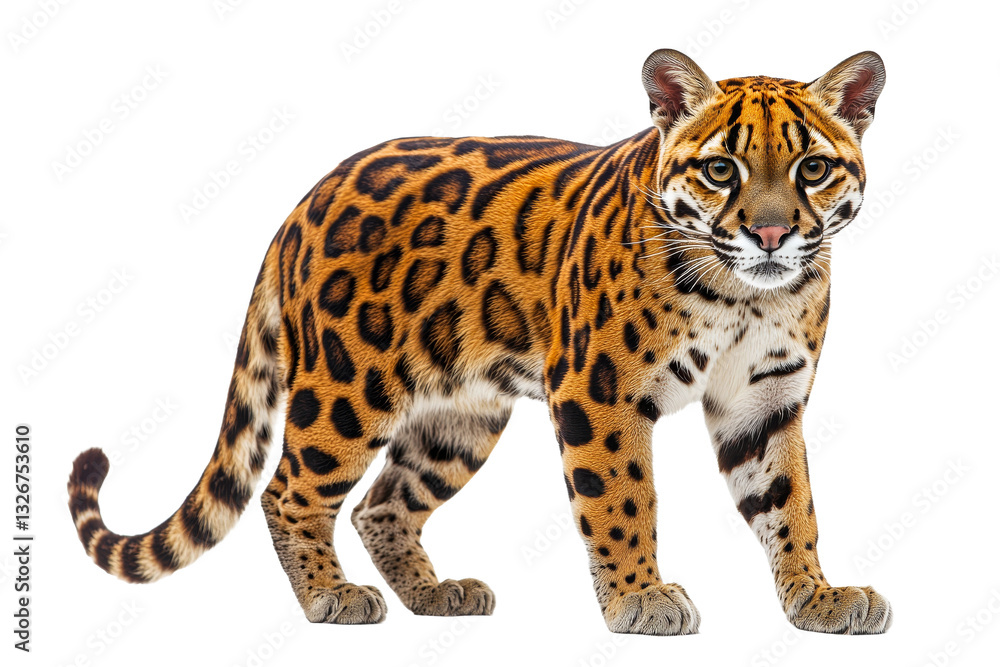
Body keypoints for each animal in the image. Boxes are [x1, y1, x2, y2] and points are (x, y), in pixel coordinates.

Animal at [68, 48, 890, 635]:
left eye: (813, 167)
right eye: (721, 168)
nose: (772, 234)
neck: (750, 296)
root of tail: (305, 201)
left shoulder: (765, 401)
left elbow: (790, 504)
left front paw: (818, 597)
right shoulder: (600, 390)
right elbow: (622, 498)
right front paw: (641, 599)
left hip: (459, 417)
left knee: (382, 506)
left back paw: (437, 594)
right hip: (344, 391)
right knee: (288, 490)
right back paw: (331, 596)